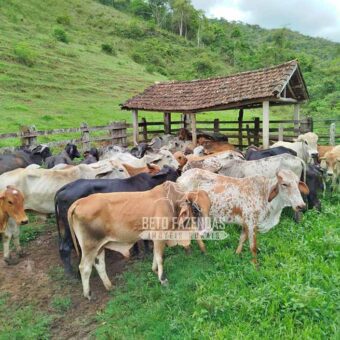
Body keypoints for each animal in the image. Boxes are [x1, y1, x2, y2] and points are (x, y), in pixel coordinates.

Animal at [66, 182, 210, 298]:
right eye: (196, 208)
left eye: (210, 207)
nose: (207, 232)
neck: (171, 202)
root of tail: (79, 202)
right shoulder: (160, 235)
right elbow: (160, 257)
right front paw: (162, 279)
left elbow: (155, 255)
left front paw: (154, 270)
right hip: (89, 246)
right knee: (84, 267)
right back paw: (88, 294)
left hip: (100, 246)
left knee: (99, 264)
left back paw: (110, 286)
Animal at [178, 169, 308, 262]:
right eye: (284, 184)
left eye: (298, 183)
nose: (301, 205)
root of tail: (181, 177)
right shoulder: (251, 223)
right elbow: (253, 247)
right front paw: (255, 266)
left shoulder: (246, 223)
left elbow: (242, 239)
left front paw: (237, 254)